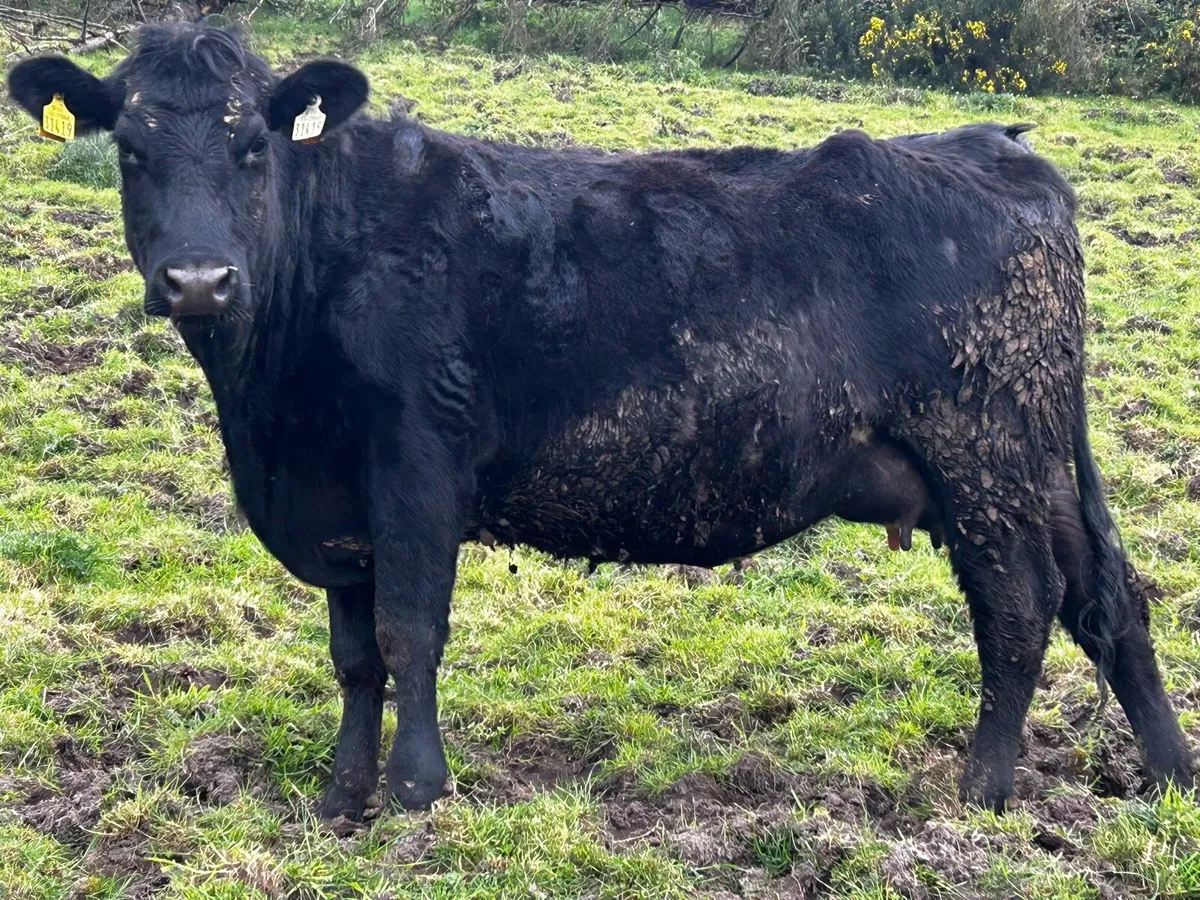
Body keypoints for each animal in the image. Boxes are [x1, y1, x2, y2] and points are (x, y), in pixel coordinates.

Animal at [9, 22, 1192, 821]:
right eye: (129, 151)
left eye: (254, 147)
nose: (199, 280)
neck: (271, 405)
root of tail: (1000, 145)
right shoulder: (333, 491)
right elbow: (352, 654)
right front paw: (342, 796)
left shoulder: (417, 460)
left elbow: (409, 630)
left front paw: (416, 794)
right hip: (1036, 460)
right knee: (1109, 595)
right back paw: (1171, 773)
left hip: (983, 455)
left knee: (1021, 603)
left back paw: (981, 789)